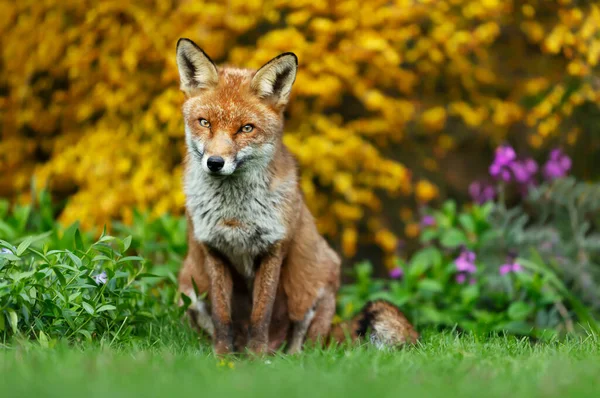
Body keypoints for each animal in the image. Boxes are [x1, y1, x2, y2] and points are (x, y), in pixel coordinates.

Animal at [173, 37, 418, 354]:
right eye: (205, 123)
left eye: (246, 129)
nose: (215, 163)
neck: (235, 216)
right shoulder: (213, 250)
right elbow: (222, 317)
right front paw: (222, 357)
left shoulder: (273, 248)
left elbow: (260, 316)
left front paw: (254, 358)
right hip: (187, 285)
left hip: (314, 285)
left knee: (305, 348)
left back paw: (277, 357)